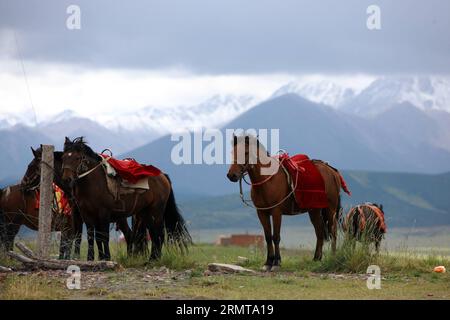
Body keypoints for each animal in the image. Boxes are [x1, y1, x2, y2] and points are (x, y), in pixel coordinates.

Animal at [60, 136, 190, 262]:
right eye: (63, 157)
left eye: (77, 158)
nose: (66, 179)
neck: (93, 183)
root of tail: (163, 175)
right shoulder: (86, 214)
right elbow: (93, 237)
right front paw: (91, 259)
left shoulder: (104, 213)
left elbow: (104, 236)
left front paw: (106, 258)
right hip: (145, 213)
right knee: (153, 234)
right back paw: (152, 258)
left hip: (156, 211)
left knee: (159, 234)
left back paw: (154, 259)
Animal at [227, 133, 350, 270]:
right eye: (232, 152)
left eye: (246, 152)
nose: (231, 175)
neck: (267, 180)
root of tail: (332, 171)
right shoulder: (262, 212)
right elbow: (268, 236)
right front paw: (268, 262)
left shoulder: (276, 212)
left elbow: (276, 237)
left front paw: (276, 263)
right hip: (314, 210)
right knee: (319, 231)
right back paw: (316, 259)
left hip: (330, 209)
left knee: (333, 231)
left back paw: (333, 257)